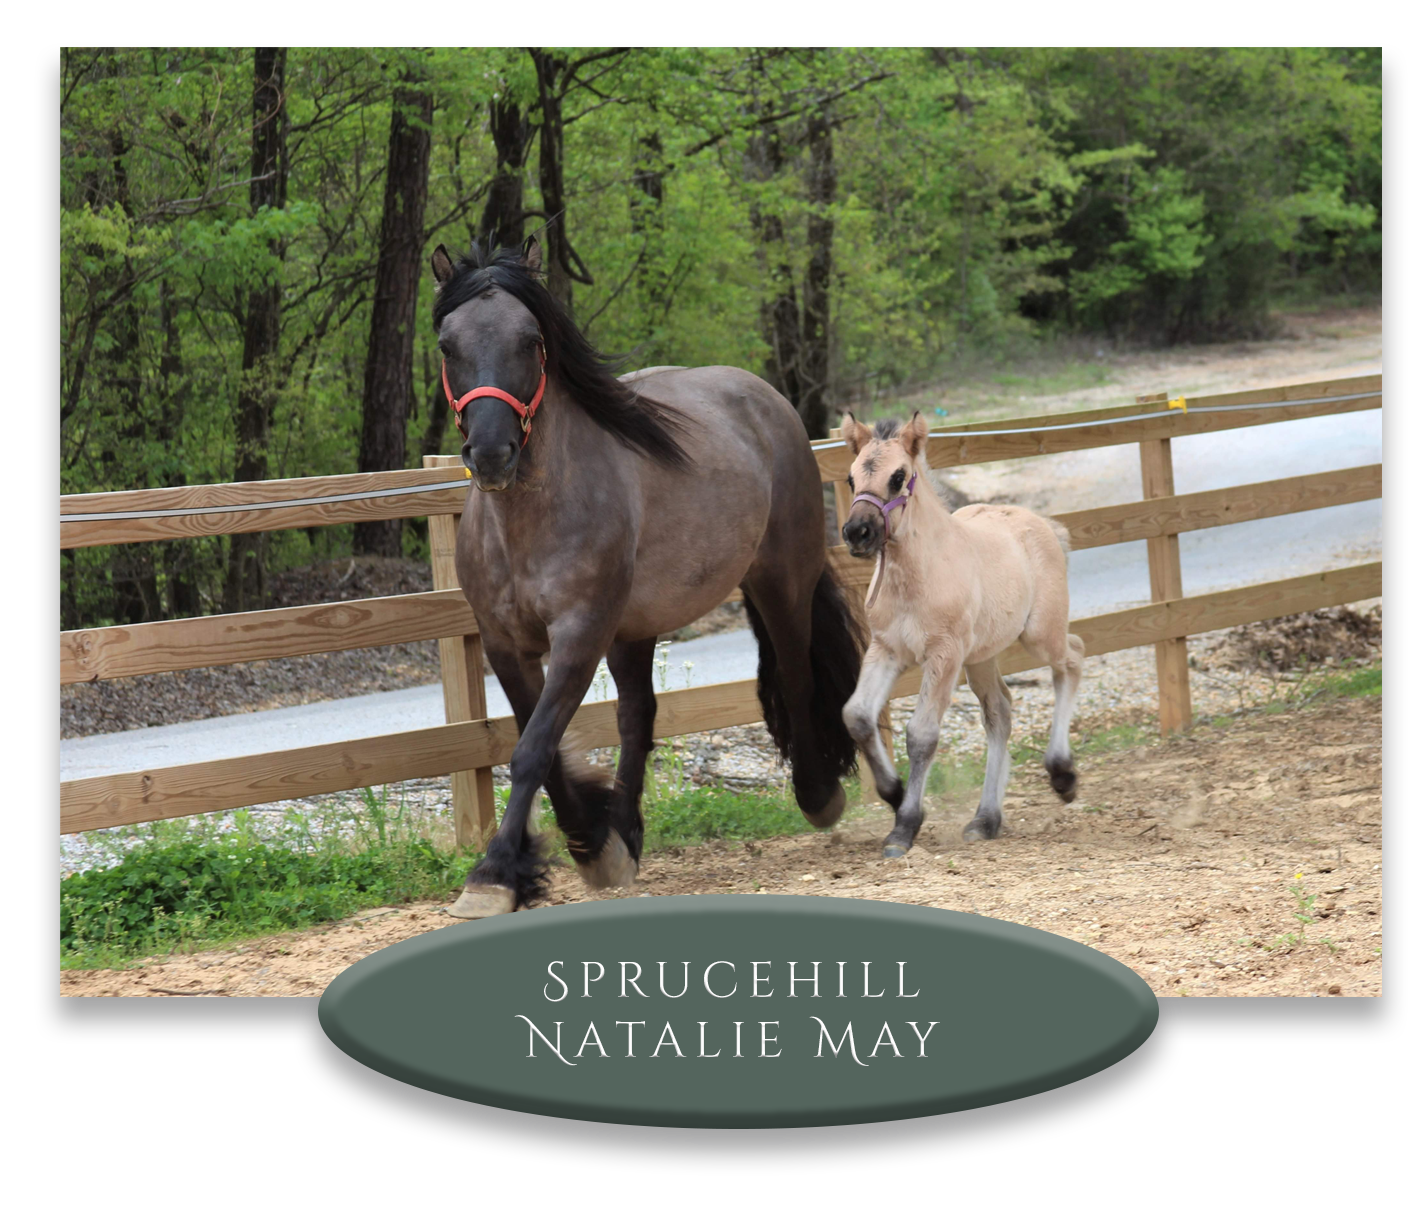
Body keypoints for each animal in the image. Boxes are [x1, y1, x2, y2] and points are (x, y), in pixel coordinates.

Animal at [431, 238, 864, 917]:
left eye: (531, 339)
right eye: (448, 344)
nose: (493, 453)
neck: (526, 525)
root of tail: (768, 400)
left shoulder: (579, 635)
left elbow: (532, 749)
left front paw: (494, 874)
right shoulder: (505, 644)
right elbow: (542, 748)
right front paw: (588, 843)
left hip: (779, 582)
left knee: (796, 675)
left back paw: (818, 794)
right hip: (634, 629)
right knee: (639, 716)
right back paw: (625, 835)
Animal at [837, 411, 1084, 856]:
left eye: (898, 476)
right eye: (850, 478)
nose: (857, 533)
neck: (918, 574)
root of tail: (1045, 525)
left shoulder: (944, 653)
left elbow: (921, 735)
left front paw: (904, 827)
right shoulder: (886, 650)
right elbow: (858, 716)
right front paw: (894, 792)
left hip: (1040, 634)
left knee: (1073, 658)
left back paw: (1062, 775)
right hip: (981, 655)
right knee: (1000, 712)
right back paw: (986, 819)